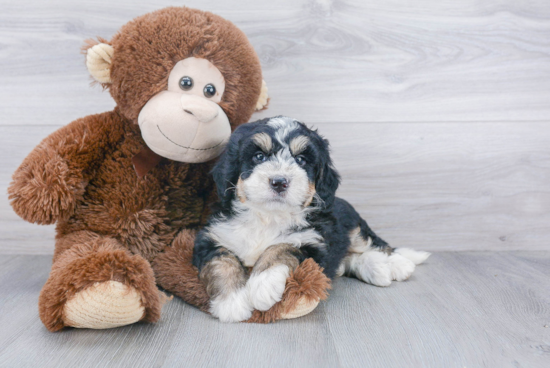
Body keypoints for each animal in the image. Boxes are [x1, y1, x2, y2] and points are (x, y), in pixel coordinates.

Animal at [194, 116, 432, 320]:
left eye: (301, 160)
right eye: (259, 156)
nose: (279, 181)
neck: (268, 217)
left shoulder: (312, 243)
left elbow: (281, 247)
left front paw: (263, 284)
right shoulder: (210, 238)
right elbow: (222, 261)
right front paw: (232, 302)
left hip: (355, 227)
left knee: (375, 244)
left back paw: (398, 263)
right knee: (348, 259)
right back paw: (377, 269)